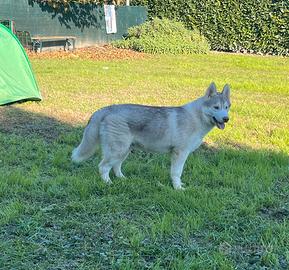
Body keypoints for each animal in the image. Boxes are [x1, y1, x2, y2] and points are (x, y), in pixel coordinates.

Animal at [71, 82, 230, 190]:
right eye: (216, 107)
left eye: (227, 107)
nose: (226, 119)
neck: (196, 117)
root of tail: (105, 109)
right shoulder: (180, 153)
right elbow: (176, 173)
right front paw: (178, 188)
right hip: (118, 150)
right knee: (103, 167)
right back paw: (108, 183)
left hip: (124, 151)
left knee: (116, 167)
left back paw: (123, 179)